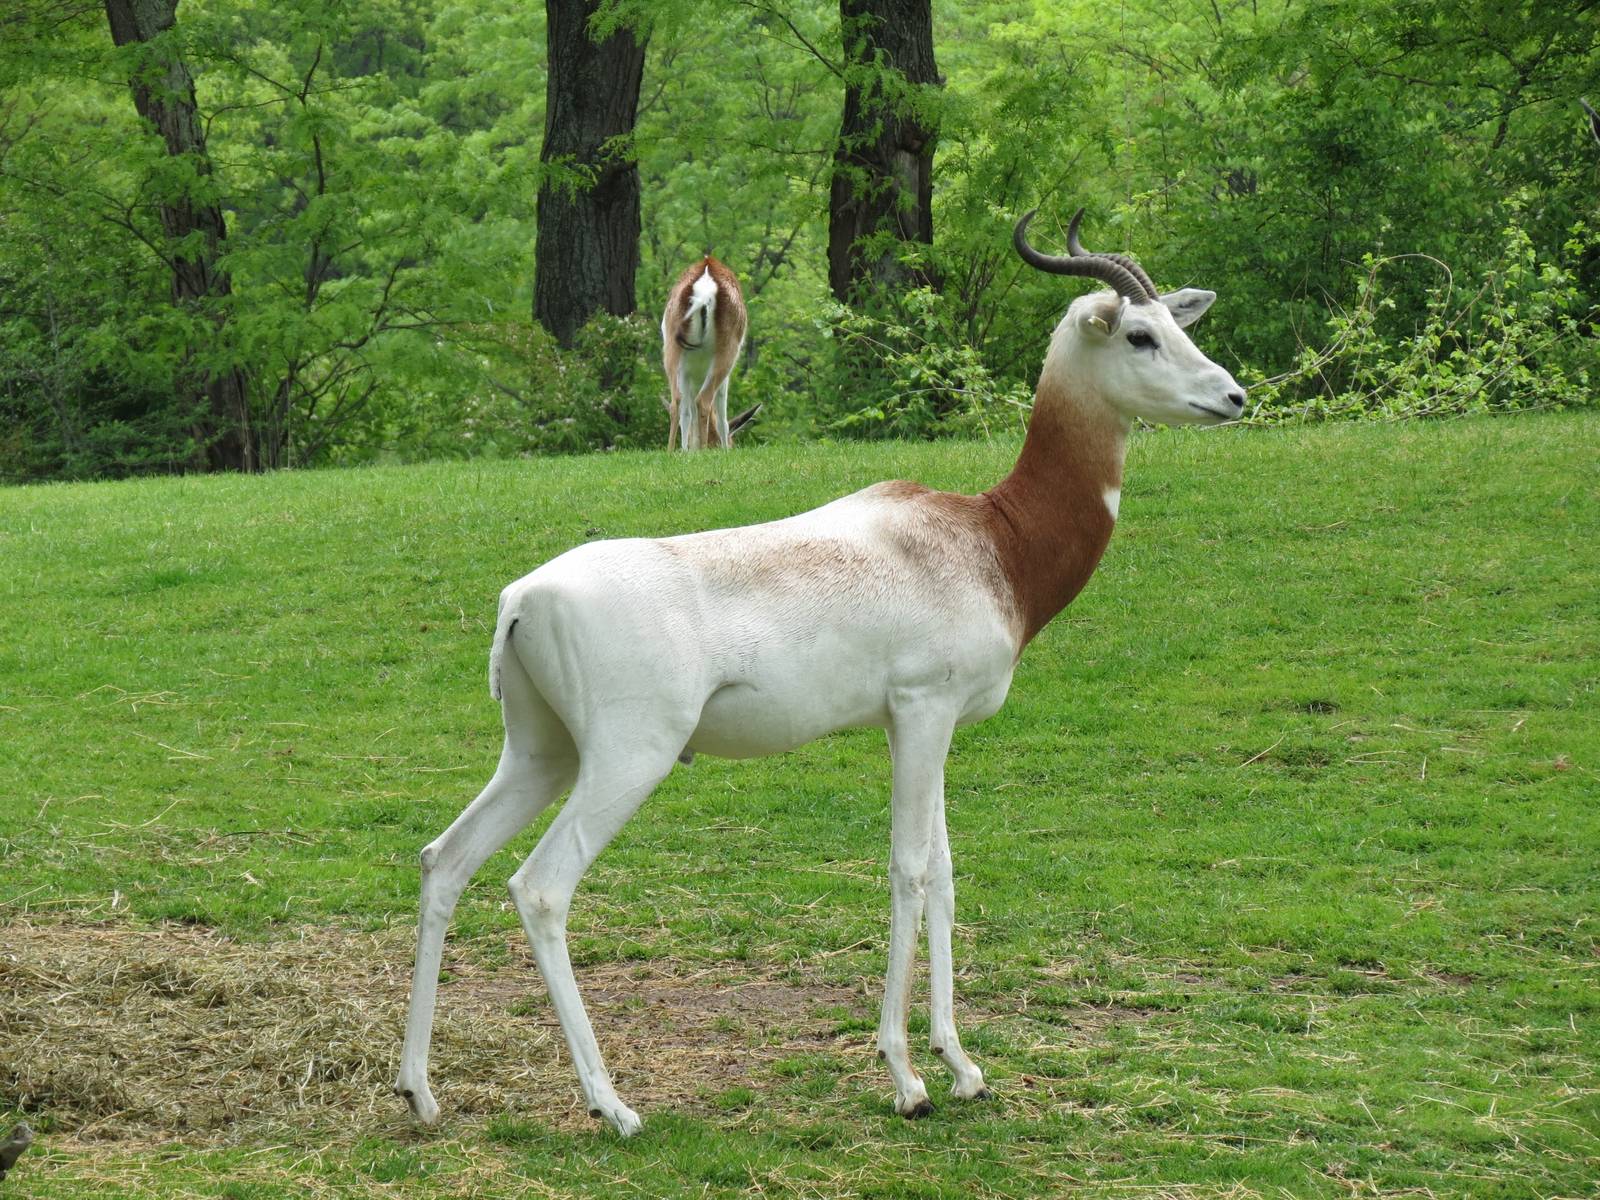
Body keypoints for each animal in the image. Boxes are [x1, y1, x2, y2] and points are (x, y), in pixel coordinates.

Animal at [662, 254, 754, 449]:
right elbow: (722, 418)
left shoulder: (686, 371)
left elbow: (686, 413)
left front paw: (686, 450)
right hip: (726, 353)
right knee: (703, 401)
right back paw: (702, 450)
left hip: (672, 351)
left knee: (676, 403)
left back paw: (672, 451)